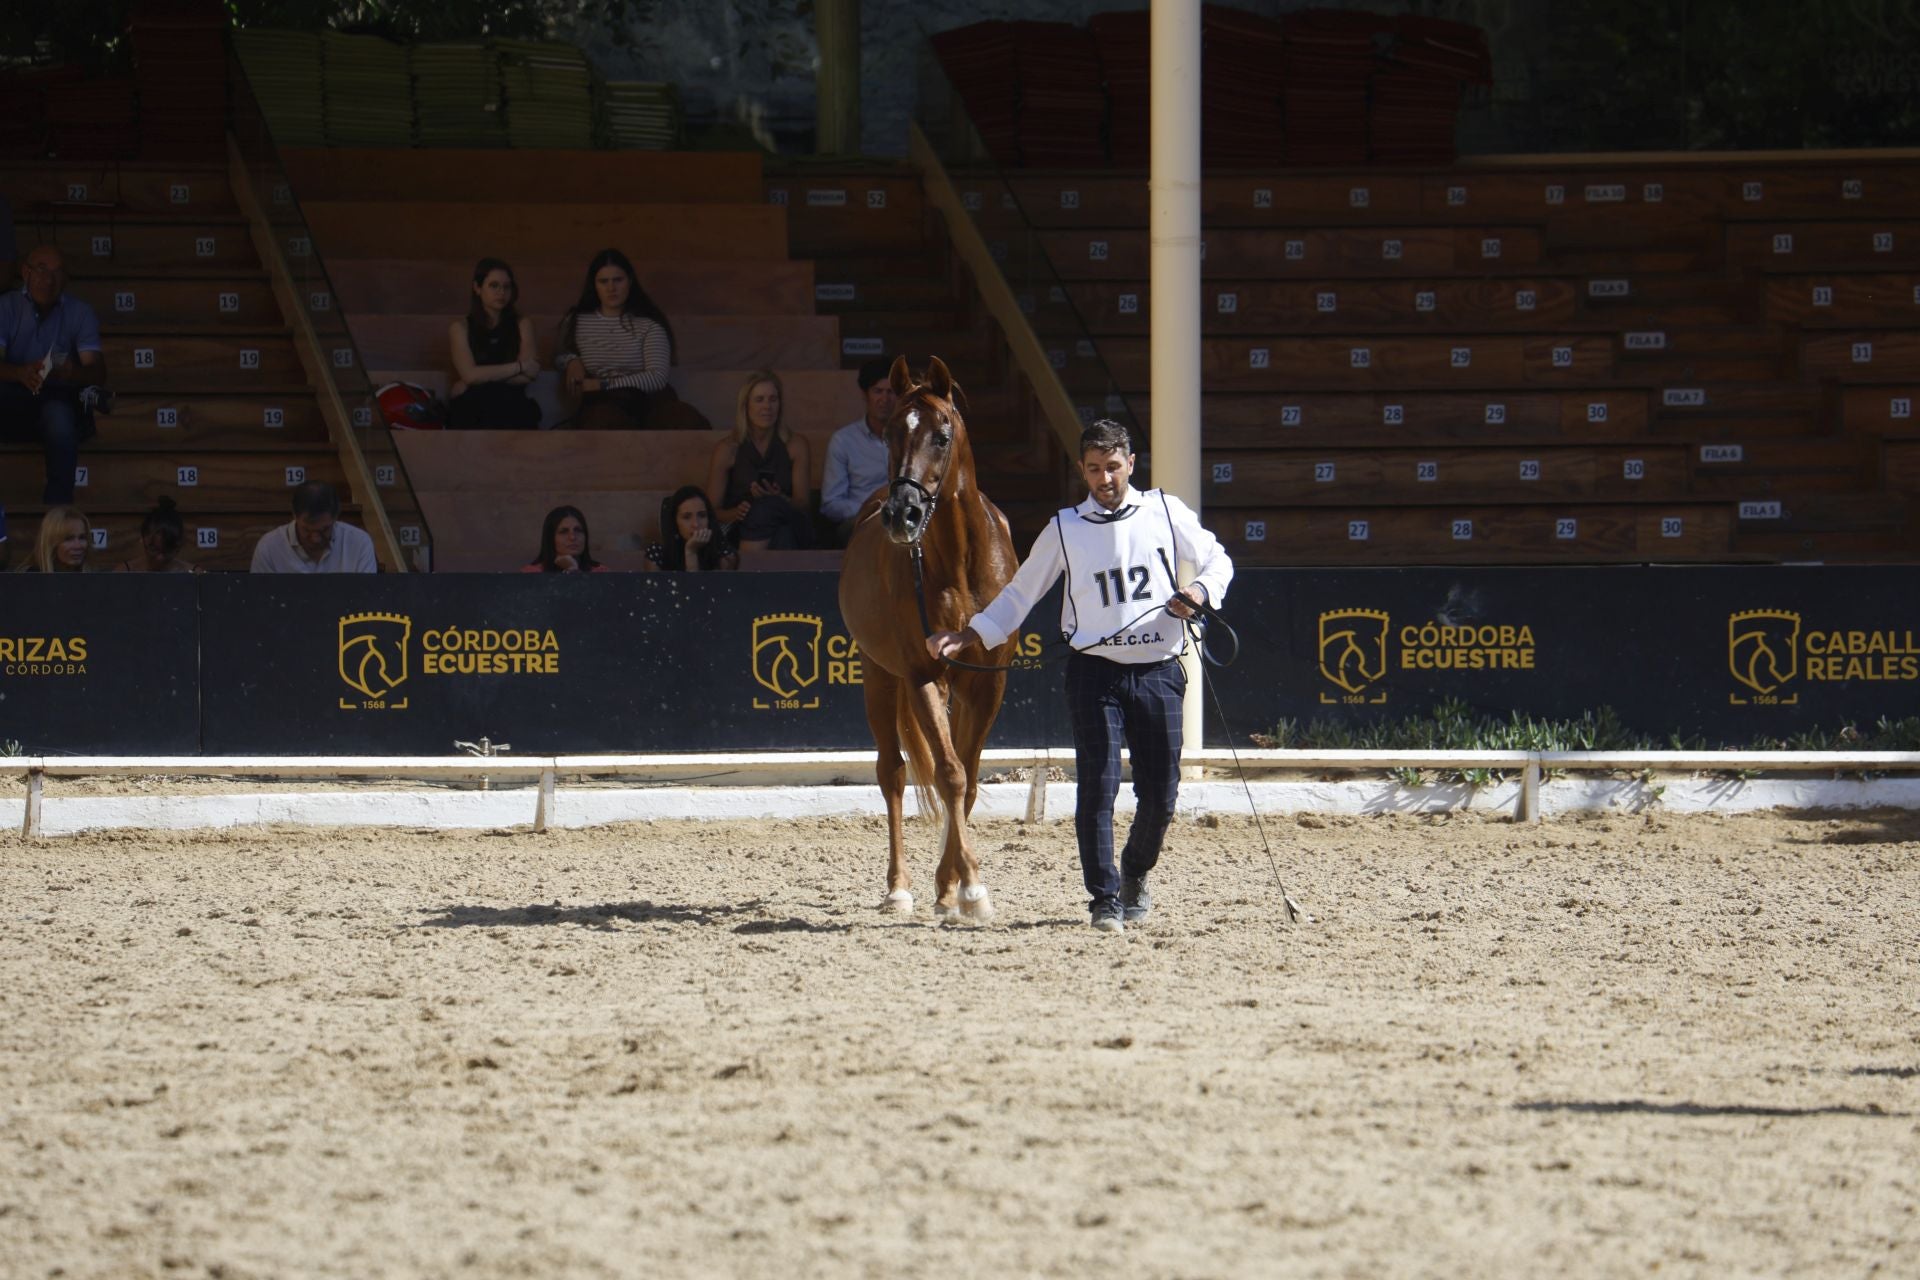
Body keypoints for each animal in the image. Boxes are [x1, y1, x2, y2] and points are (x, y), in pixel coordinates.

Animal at [837, 355, 1020, 922]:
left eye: (942, 435)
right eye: (890, 432)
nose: (902, 514)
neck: (960, 563)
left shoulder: (987, 685)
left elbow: (968, 779)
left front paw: (955, 884)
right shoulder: (920, 676)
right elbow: (949, 774)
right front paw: (972, 889)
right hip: (879, 676)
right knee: (893, 773)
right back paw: (898, 888)